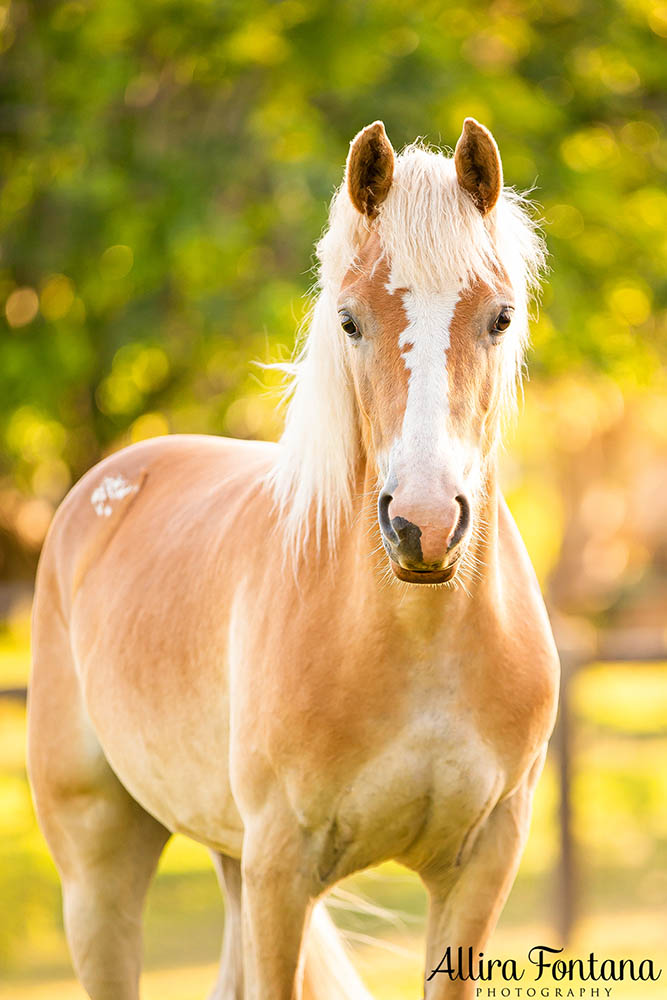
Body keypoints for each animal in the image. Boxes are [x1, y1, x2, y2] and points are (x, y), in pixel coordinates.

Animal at [27, 119, 560, 1000]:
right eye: (348, 320)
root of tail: (107, 485)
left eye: (499, 316)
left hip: (226, 854)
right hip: (99, 870)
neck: (420, 643)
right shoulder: (280, 872)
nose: (422, 524)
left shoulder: (481, 866)